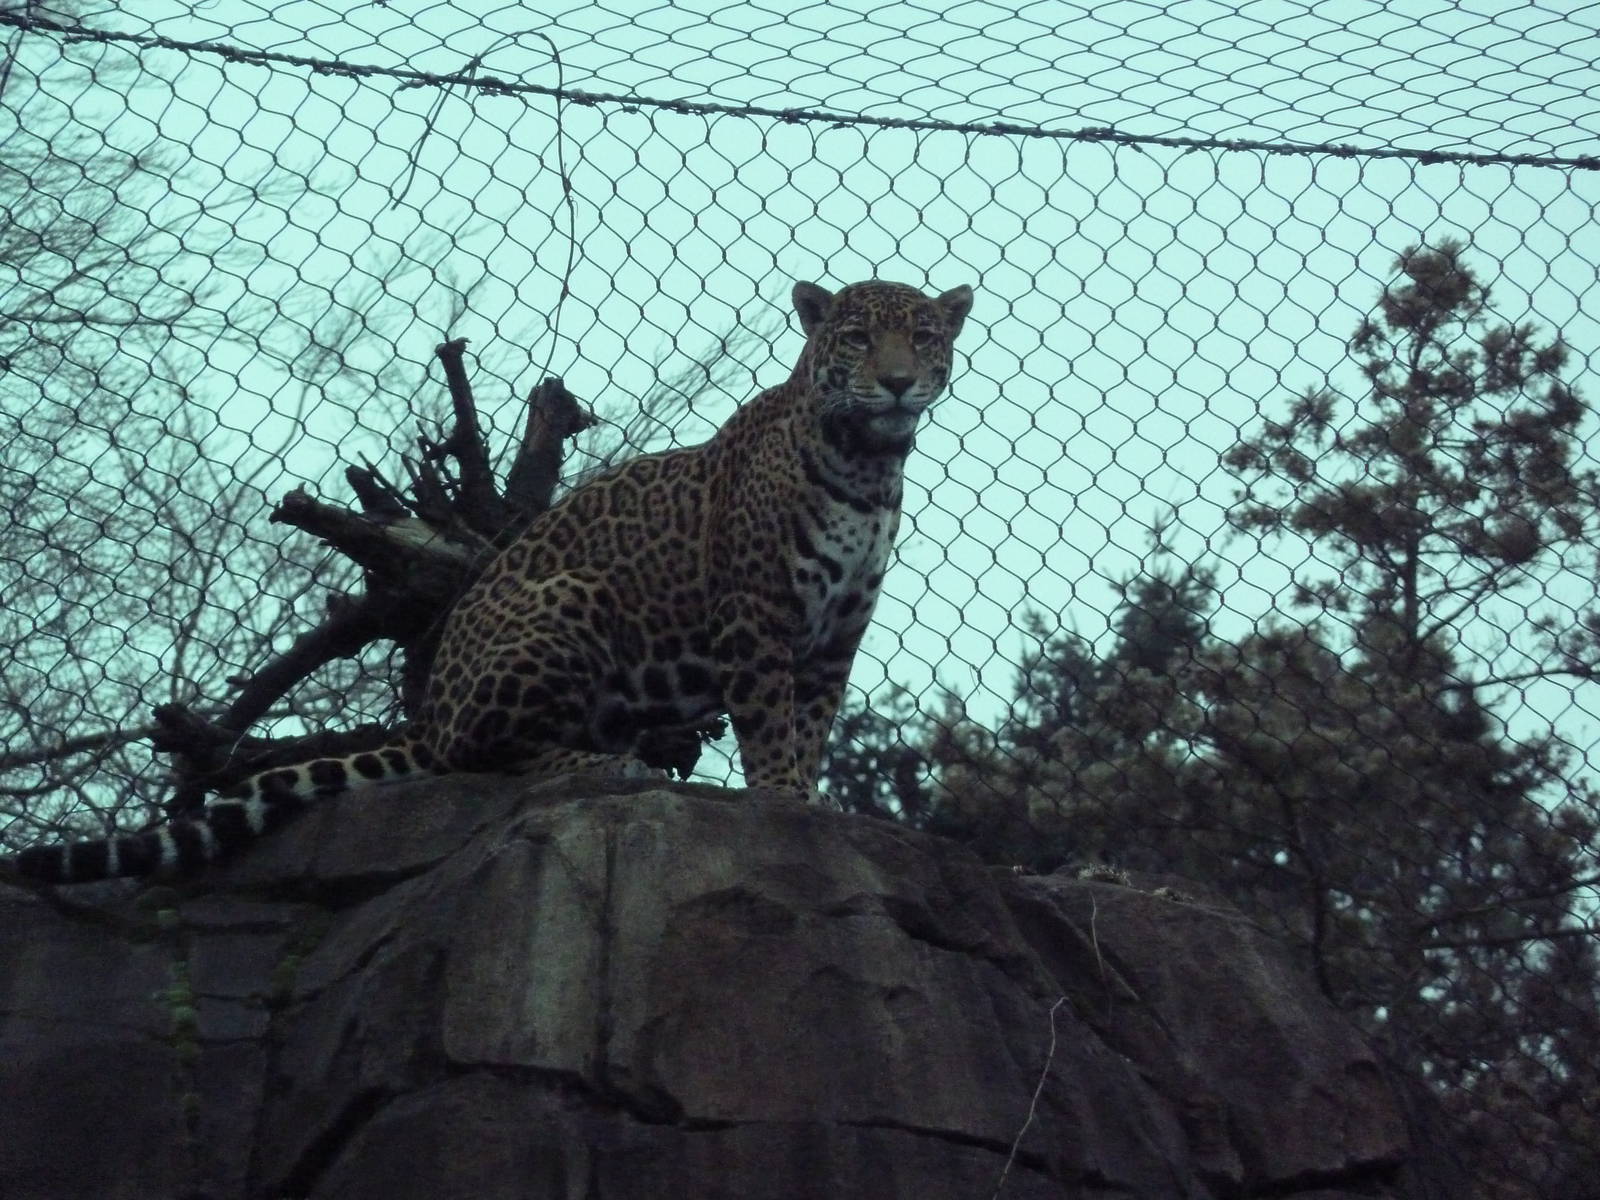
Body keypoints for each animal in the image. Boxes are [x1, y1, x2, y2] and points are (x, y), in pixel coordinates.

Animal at [3, 278, 974, 885]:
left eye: (923, 337)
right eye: (856, 337)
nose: (896, 382)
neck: (868, 461)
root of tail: (428, 713)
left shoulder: (837, 632)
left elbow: (812, 724)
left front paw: (809, 799)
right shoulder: (757, 613)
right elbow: (770, 721)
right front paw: (778, 804)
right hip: (569, 602)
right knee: (487, 758)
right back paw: (603, 761)